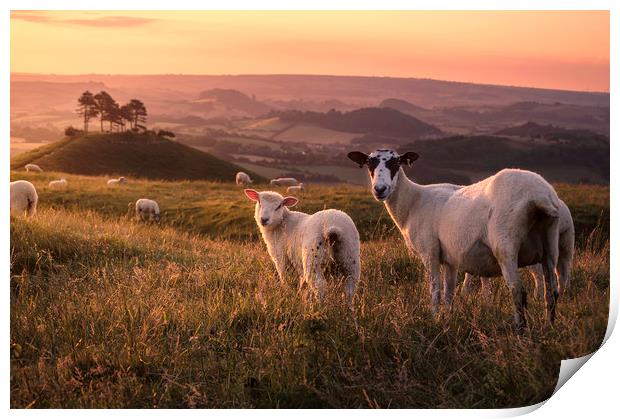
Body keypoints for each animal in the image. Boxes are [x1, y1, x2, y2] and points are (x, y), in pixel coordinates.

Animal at [352, 148, 564, 332]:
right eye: (369, 163)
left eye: (396, 163)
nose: (380, 189)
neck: (413, 202)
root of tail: (539, 194)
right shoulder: (450, 258)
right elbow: (449, 293)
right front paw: (448, 320)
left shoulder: (429, 252)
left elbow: (435, 291)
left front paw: (434, 319)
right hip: (550, 243)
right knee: (552, 291)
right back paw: (549, 328)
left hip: (506, 246)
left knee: (519, 292)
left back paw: (521, 331)